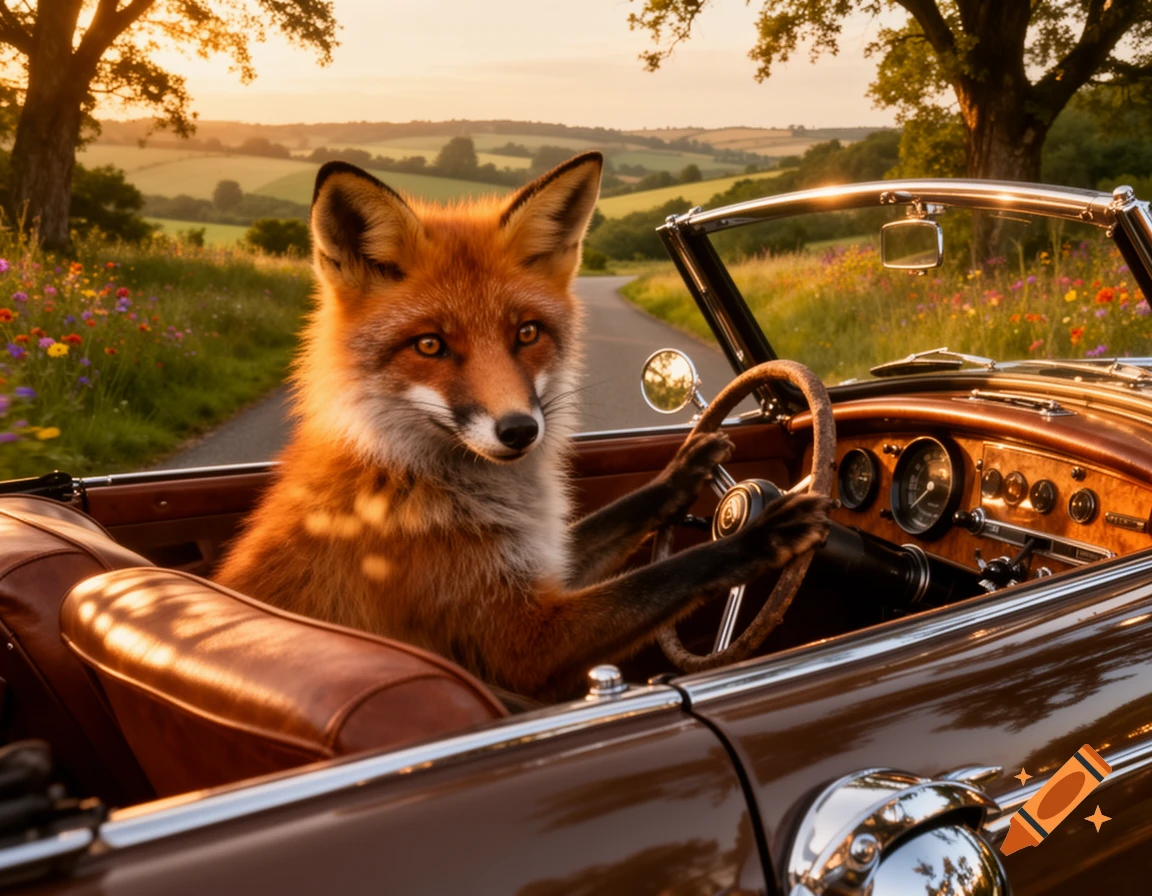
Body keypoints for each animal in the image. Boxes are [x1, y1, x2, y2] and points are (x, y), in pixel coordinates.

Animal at [216, 151, 830, 701]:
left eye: (527, 333)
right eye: (430, 346)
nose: (518, 431)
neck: (404, 476)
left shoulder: (543, 562)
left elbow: (628, 510)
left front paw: (684, 469)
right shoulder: (523, 643)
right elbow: (665, 575)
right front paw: (760, 533)